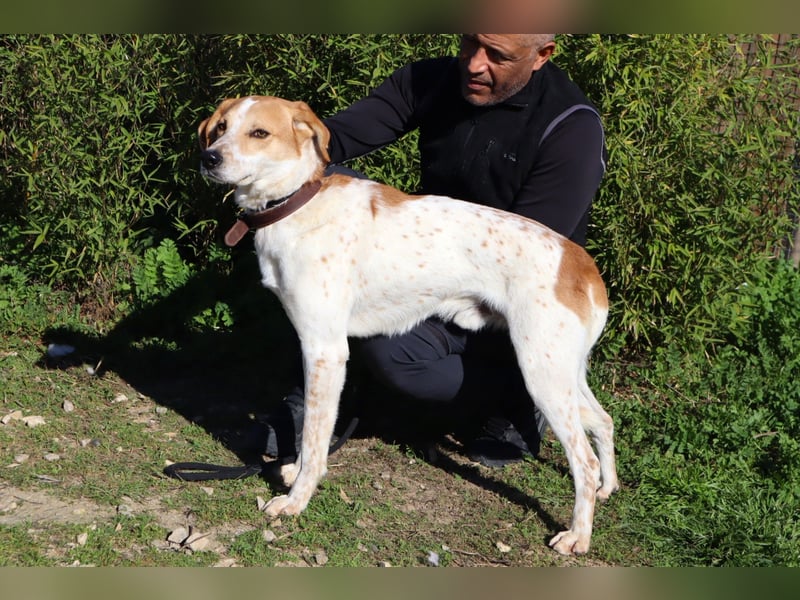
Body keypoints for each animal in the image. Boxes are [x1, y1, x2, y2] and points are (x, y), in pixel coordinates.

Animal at [198, 96, 618, 555]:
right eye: (220, 128)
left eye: (259, 133)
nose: (209, 158)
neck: (299, 203)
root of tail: (581, 262)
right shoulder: (315, 344)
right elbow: (313, 429)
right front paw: (298, 472)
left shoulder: (326, 349)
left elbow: (313, 433)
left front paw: (296, 499)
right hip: (563, 371)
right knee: (603, 422)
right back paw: (607, 487)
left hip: (540, 372)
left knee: (583, 459)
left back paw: (578, 534)